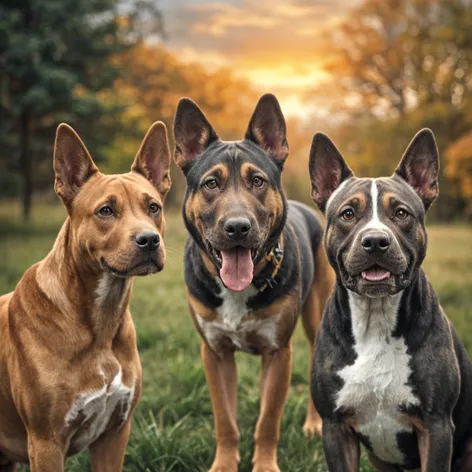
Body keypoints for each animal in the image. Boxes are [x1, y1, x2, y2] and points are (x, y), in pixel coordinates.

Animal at [0, 122, 171, 472]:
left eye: (153, 207)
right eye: (105, 211)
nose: (149, 240)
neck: (101, 319)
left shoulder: (114, 434)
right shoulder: (46, 443)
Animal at [308, 127, 472, 470]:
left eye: (400, 213)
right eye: (347, 213)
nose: (375, 241)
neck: (376, 319)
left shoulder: (436, 427)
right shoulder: (335, 428)